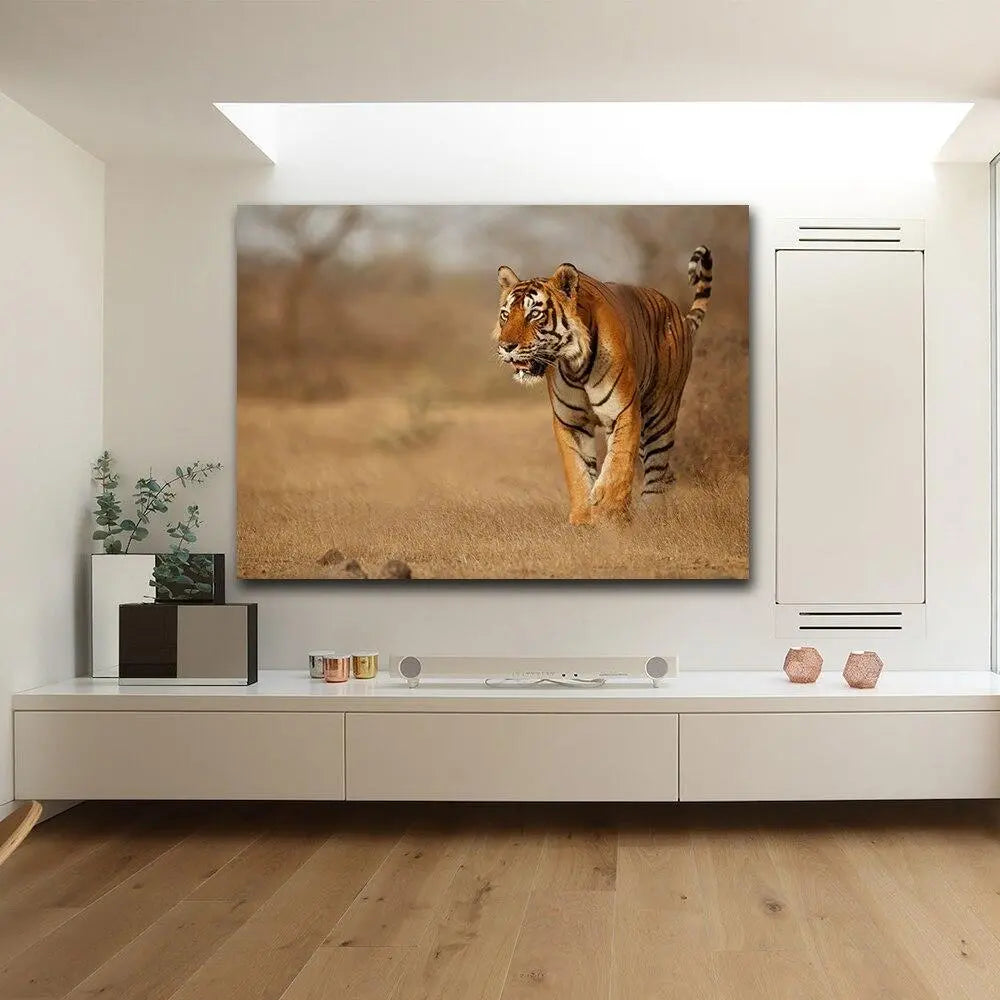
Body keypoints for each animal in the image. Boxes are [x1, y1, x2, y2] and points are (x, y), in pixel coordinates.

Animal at [492, 246, 712, 525]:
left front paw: (609, 511)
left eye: (534, 314)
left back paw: (649, 516)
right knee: (666, 473)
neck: (575, 366)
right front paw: (583, 519)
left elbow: (618, 464)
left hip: (660, 415)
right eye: (505, 315)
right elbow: (577, 472)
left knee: (657, 470)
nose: (505, 346)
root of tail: (680, 316)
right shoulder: (570, 422)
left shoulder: (623, 412)